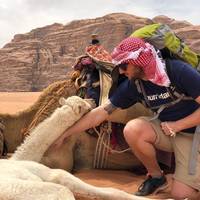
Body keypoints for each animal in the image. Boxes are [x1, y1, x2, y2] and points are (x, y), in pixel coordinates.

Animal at [0, 95, 155, 200]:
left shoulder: (46, 171)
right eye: (83, 104)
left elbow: (113, 190)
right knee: (62, 191)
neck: (19, 157)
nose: (93, 100)